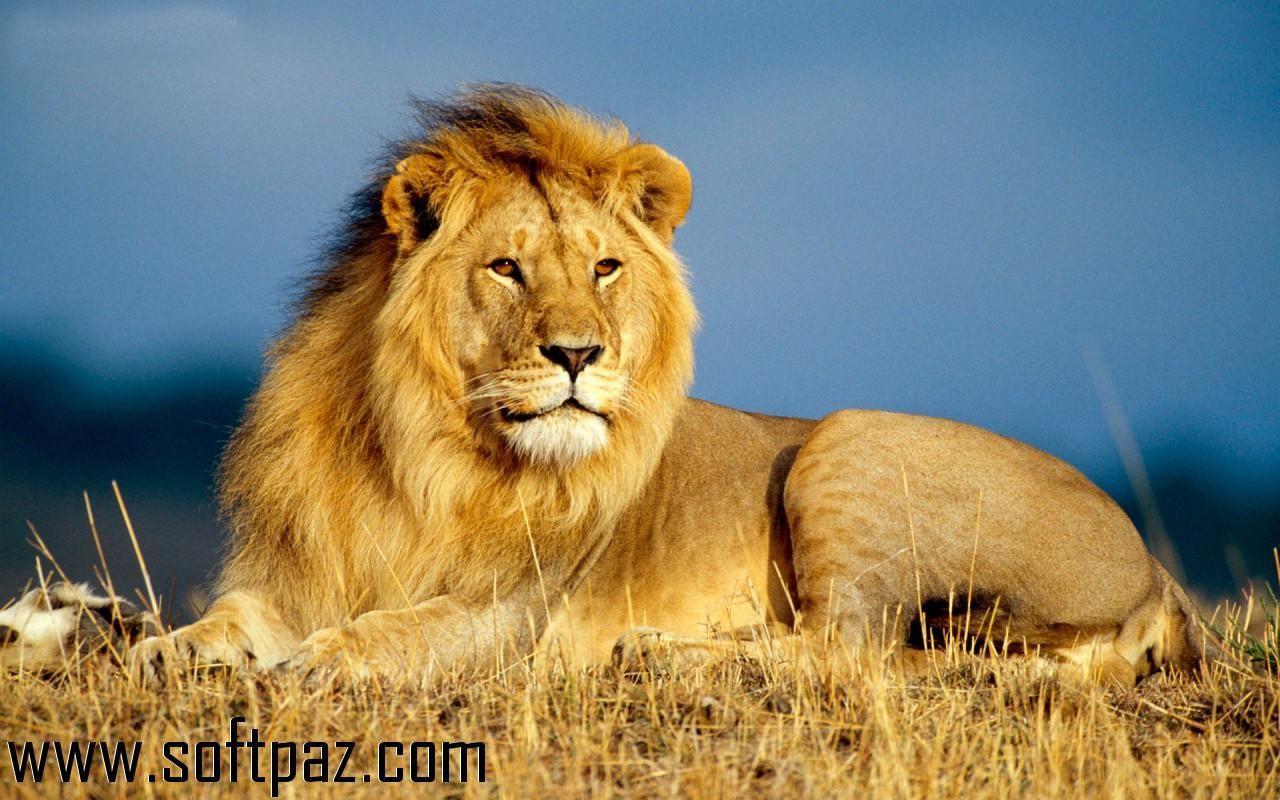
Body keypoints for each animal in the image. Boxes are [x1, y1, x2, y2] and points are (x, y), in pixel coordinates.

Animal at [3, 85, 1211, 685]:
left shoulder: (512, 611)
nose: (578, 355)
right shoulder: (294, 571)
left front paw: (311, 663)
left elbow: (387, 635)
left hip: (845, 441)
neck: (418, 449)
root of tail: (1156, 573)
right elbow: (223, 622)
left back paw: (659, 655)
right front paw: (144, 644)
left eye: (603, 268)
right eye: (506, 268)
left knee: (848, 649)